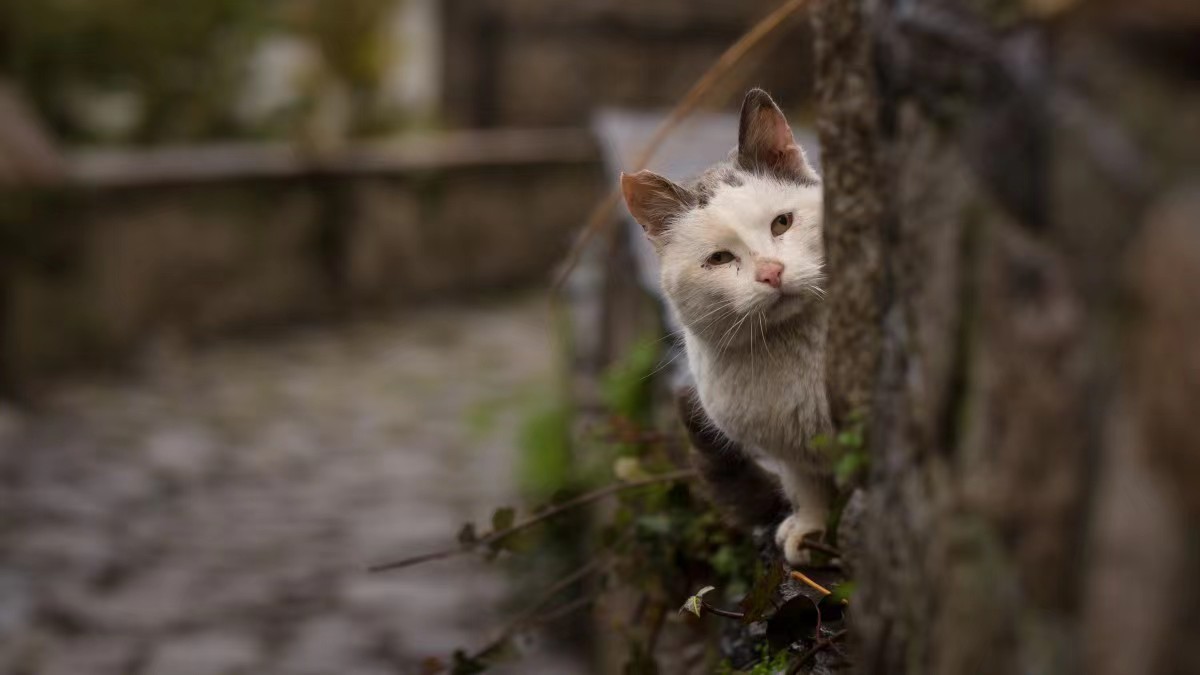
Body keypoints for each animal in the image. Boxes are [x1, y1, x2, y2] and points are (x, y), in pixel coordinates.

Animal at [624, 88, 830, 562]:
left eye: (782, 223)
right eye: (719, 259)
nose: (771, 272)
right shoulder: (793, 456)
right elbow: (807, 485)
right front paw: (810, 528)